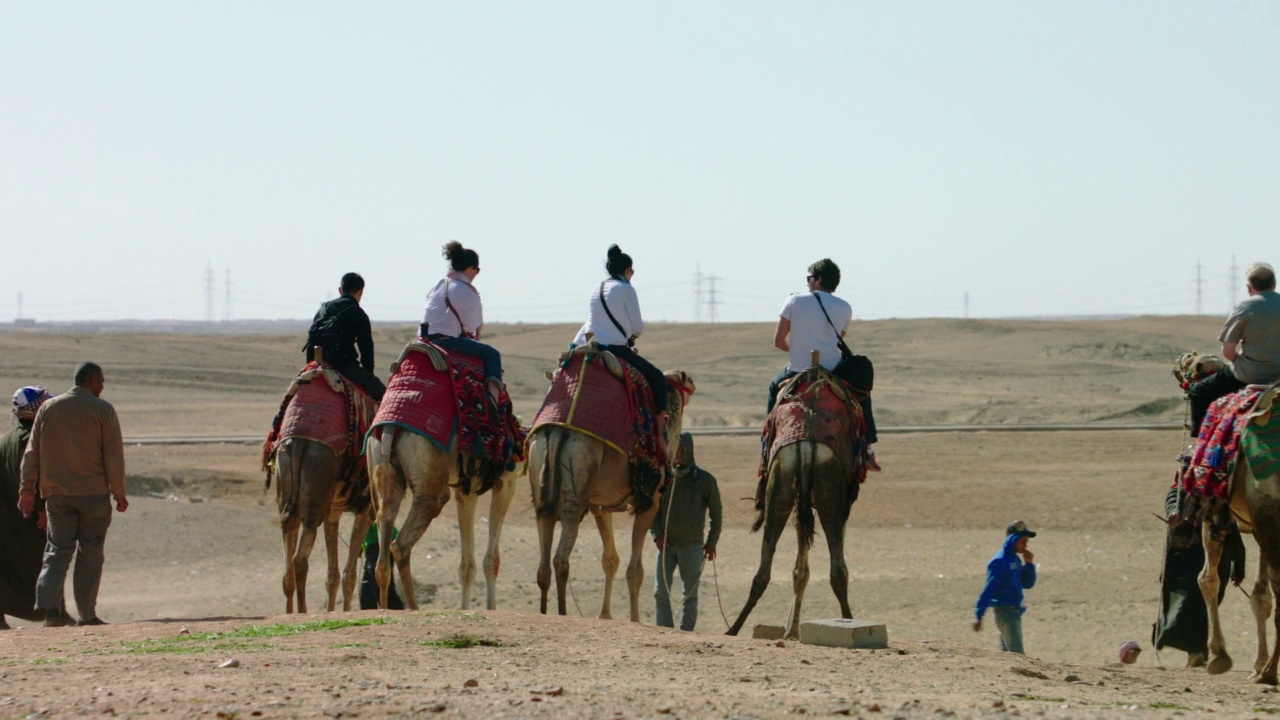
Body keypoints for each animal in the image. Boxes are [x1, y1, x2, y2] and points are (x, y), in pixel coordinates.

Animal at [270, 435, 371, 614]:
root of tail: (298, 442)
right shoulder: (366, 508)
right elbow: (351, 576)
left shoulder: (332, 512)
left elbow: (332, 576)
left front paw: (331, 612)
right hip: (315, 497)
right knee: (299, 559)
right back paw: (302, 611)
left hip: (286, 494)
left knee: (287, 571)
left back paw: (290, 612)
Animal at [363, 425, 522, 609]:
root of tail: (388, 429)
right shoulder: (506, 480)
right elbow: (492, 561)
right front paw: (490, 609)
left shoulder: (466, 489)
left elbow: (467, 566)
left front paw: (465, 609)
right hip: (430, 484)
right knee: (400, 545)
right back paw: (414, 609)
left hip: (381, 475)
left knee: (382, 557)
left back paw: (385, 609)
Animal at [524, 366, 696, 620]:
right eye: (683, 380)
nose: (693, 381)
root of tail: (557, 432)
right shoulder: (650, 501)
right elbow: (635, 571)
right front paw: (634, 619)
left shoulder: (601, 505)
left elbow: (610, 559)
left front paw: (605, 615)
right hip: (576, 483)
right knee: (561, 559)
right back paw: (562, 613)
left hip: (540, 479)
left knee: (543, 562)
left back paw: (545, 612)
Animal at [727, 366, 865, 635]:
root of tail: (807, 442)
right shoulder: (844, 501)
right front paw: (793, 630)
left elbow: (799, 571)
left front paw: (791, 631)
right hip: (830, 492)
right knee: (838, 570)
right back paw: (849, 621)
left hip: (780, 485)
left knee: (762, 571)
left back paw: (733, 629)